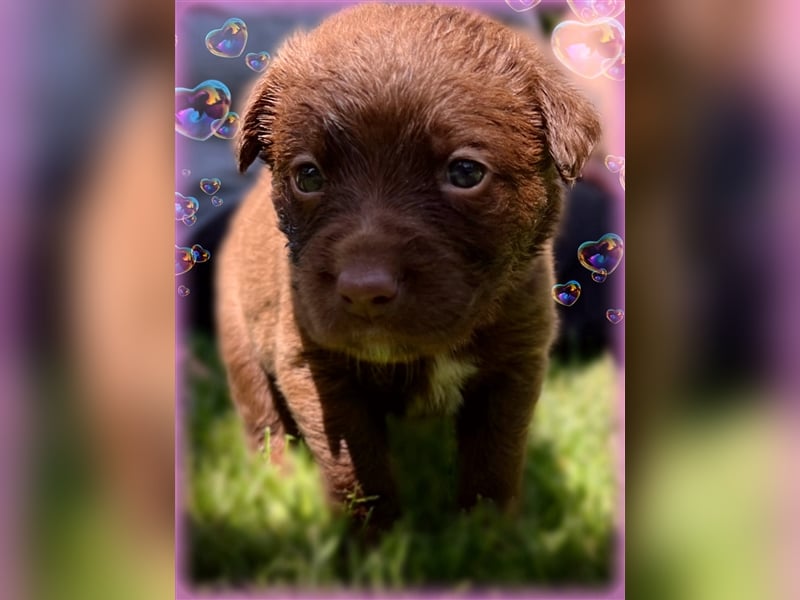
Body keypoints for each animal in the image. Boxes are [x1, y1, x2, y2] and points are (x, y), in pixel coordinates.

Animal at [216, 3, 596, 524]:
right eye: (308, 176)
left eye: (465, 172)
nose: (363, 290)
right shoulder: (312, 366)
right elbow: (357, 469)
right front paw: (370, 537)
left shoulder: (516, 363)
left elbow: (494, 459)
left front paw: (489, 532)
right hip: (241, 344)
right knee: (263, 422)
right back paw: (279, 485)